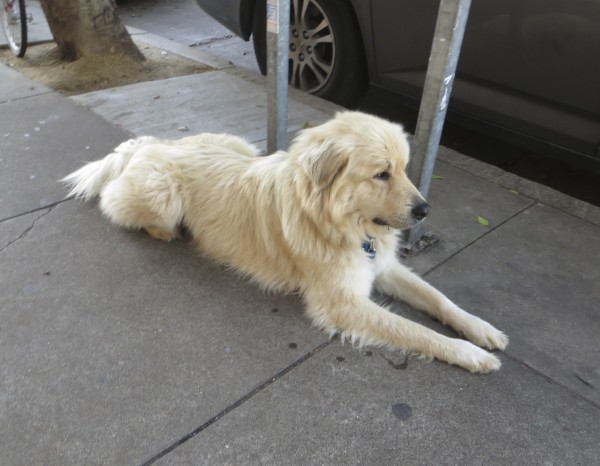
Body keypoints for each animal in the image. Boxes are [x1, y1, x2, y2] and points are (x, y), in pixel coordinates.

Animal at [64, 111, 506, 374]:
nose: (425, 210)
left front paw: (481, 330)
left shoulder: (383, 266)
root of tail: (152, 143)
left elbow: (439, 300)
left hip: (241, 146)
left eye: (403, 169)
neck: (335, 222)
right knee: (114, 204)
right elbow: (417, 332)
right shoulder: (343, 303)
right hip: (162, 194)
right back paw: (167, 231)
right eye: (381, 174)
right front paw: (470, 354)